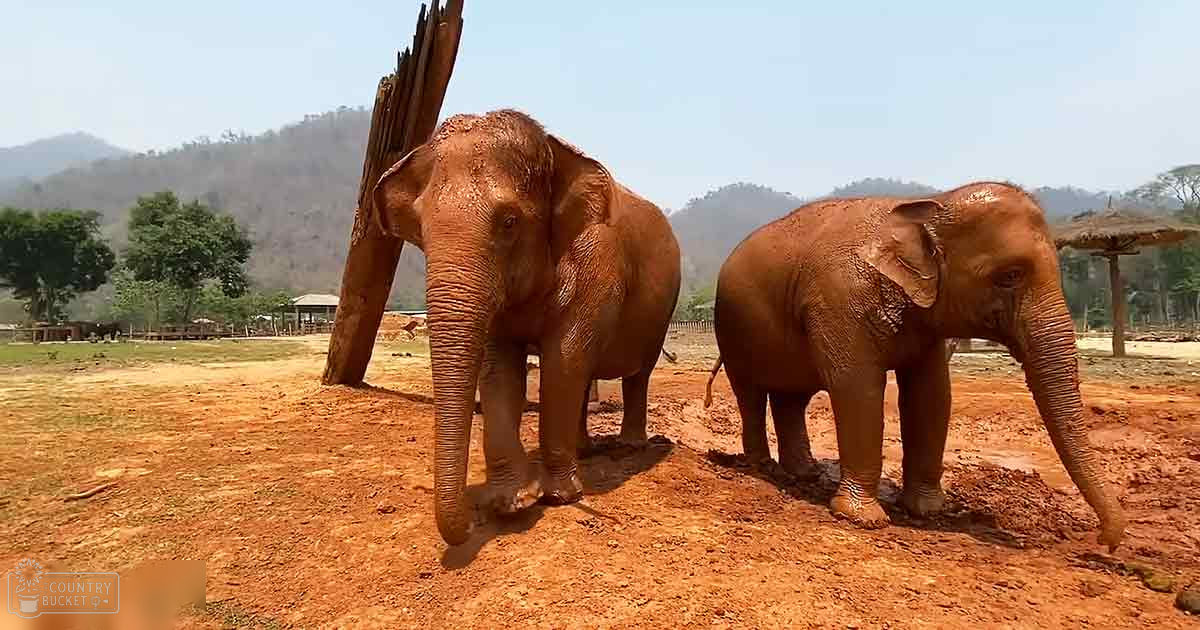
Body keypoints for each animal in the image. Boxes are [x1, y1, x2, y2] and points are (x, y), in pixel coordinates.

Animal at [371, 109, 681, 545]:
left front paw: (560, 498)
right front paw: (512, 502)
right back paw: (584, 449)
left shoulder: (596, 264)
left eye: (509, 222)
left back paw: (630, 446)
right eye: (421, 228)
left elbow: (563, 359)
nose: (470, 524)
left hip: (663, 310)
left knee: (637, 372)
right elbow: (500, 367)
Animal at [706, 182, 1125, 550]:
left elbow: (931, 394)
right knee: (751, 394)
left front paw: (928, 510)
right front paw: (863, 519)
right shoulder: (839, 301)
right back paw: (762, 468)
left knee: (792, 397)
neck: (929, 205)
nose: (1105, 541)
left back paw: (804, 473)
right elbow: (857, 387)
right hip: (733, 333)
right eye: (1010, 276)